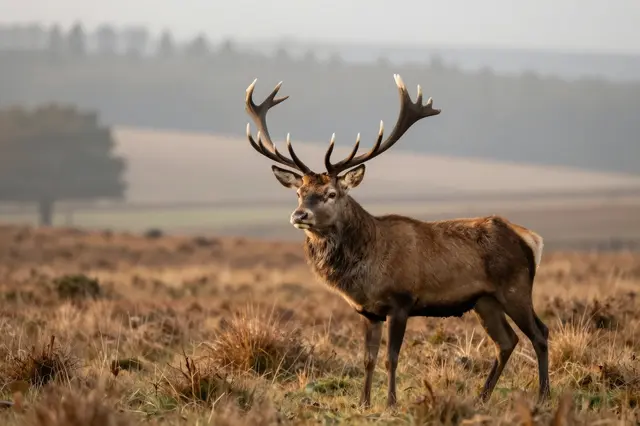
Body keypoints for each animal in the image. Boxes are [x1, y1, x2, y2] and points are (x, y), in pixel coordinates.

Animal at [243, 74, 550, 409]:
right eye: (299, 192)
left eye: (331, 194)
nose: (299, 215)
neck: (367, 270)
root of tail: (530, 238)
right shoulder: (368, 311)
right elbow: (368, 359)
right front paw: (363, 403)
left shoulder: (401, 300)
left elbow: (392, 357)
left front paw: (391, 403)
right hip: (485, 300)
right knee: (506, 341)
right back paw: (482, 397)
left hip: (515, 287)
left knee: (540, 333)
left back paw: (543, 396)